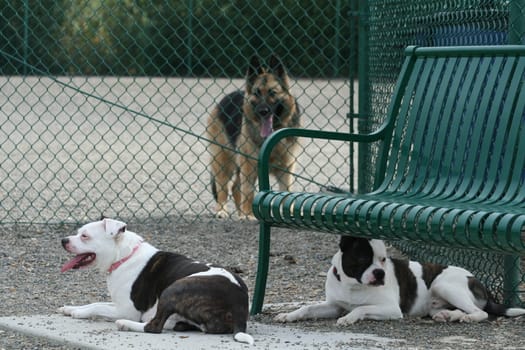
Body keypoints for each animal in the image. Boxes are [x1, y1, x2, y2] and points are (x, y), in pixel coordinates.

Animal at [57, 219, 254, 344]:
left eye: (85, 236)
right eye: (78, 233)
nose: (63, 240)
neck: (123, 255)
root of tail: (240, 302)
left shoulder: (127, 310)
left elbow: (97, 307)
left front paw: (79, 313)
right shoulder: (119, 303)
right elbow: (95, 303)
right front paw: (70, 308)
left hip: (175, 288)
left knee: (154, 326)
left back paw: (125, 324)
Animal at [207, 55, 300, 219]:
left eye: (272, 92)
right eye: (257, 93)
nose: (263, 111)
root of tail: (226, 98)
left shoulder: (286, 169)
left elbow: (287, 193)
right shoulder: (249, 166)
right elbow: (249, 192)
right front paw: (248, 214)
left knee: (235, 186)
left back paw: (239, 213)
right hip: (224, 161)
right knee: (224, 187)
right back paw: (222, 211)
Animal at [274, 237, 524, 324]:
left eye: (383, 259)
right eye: (363, 259)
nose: (380, 273)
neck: (353, 285)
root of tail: (477, 280)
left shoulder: (390, 309)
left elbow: (360, 309)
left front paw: (349, 319)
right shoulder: (333, 305)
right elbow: (307, 308)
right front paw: (289, 315)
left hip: (444, 285)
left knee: (480, 312)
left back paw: (467, 318)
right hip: (436, 302)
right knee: (459, 310)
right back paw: (448, 315)